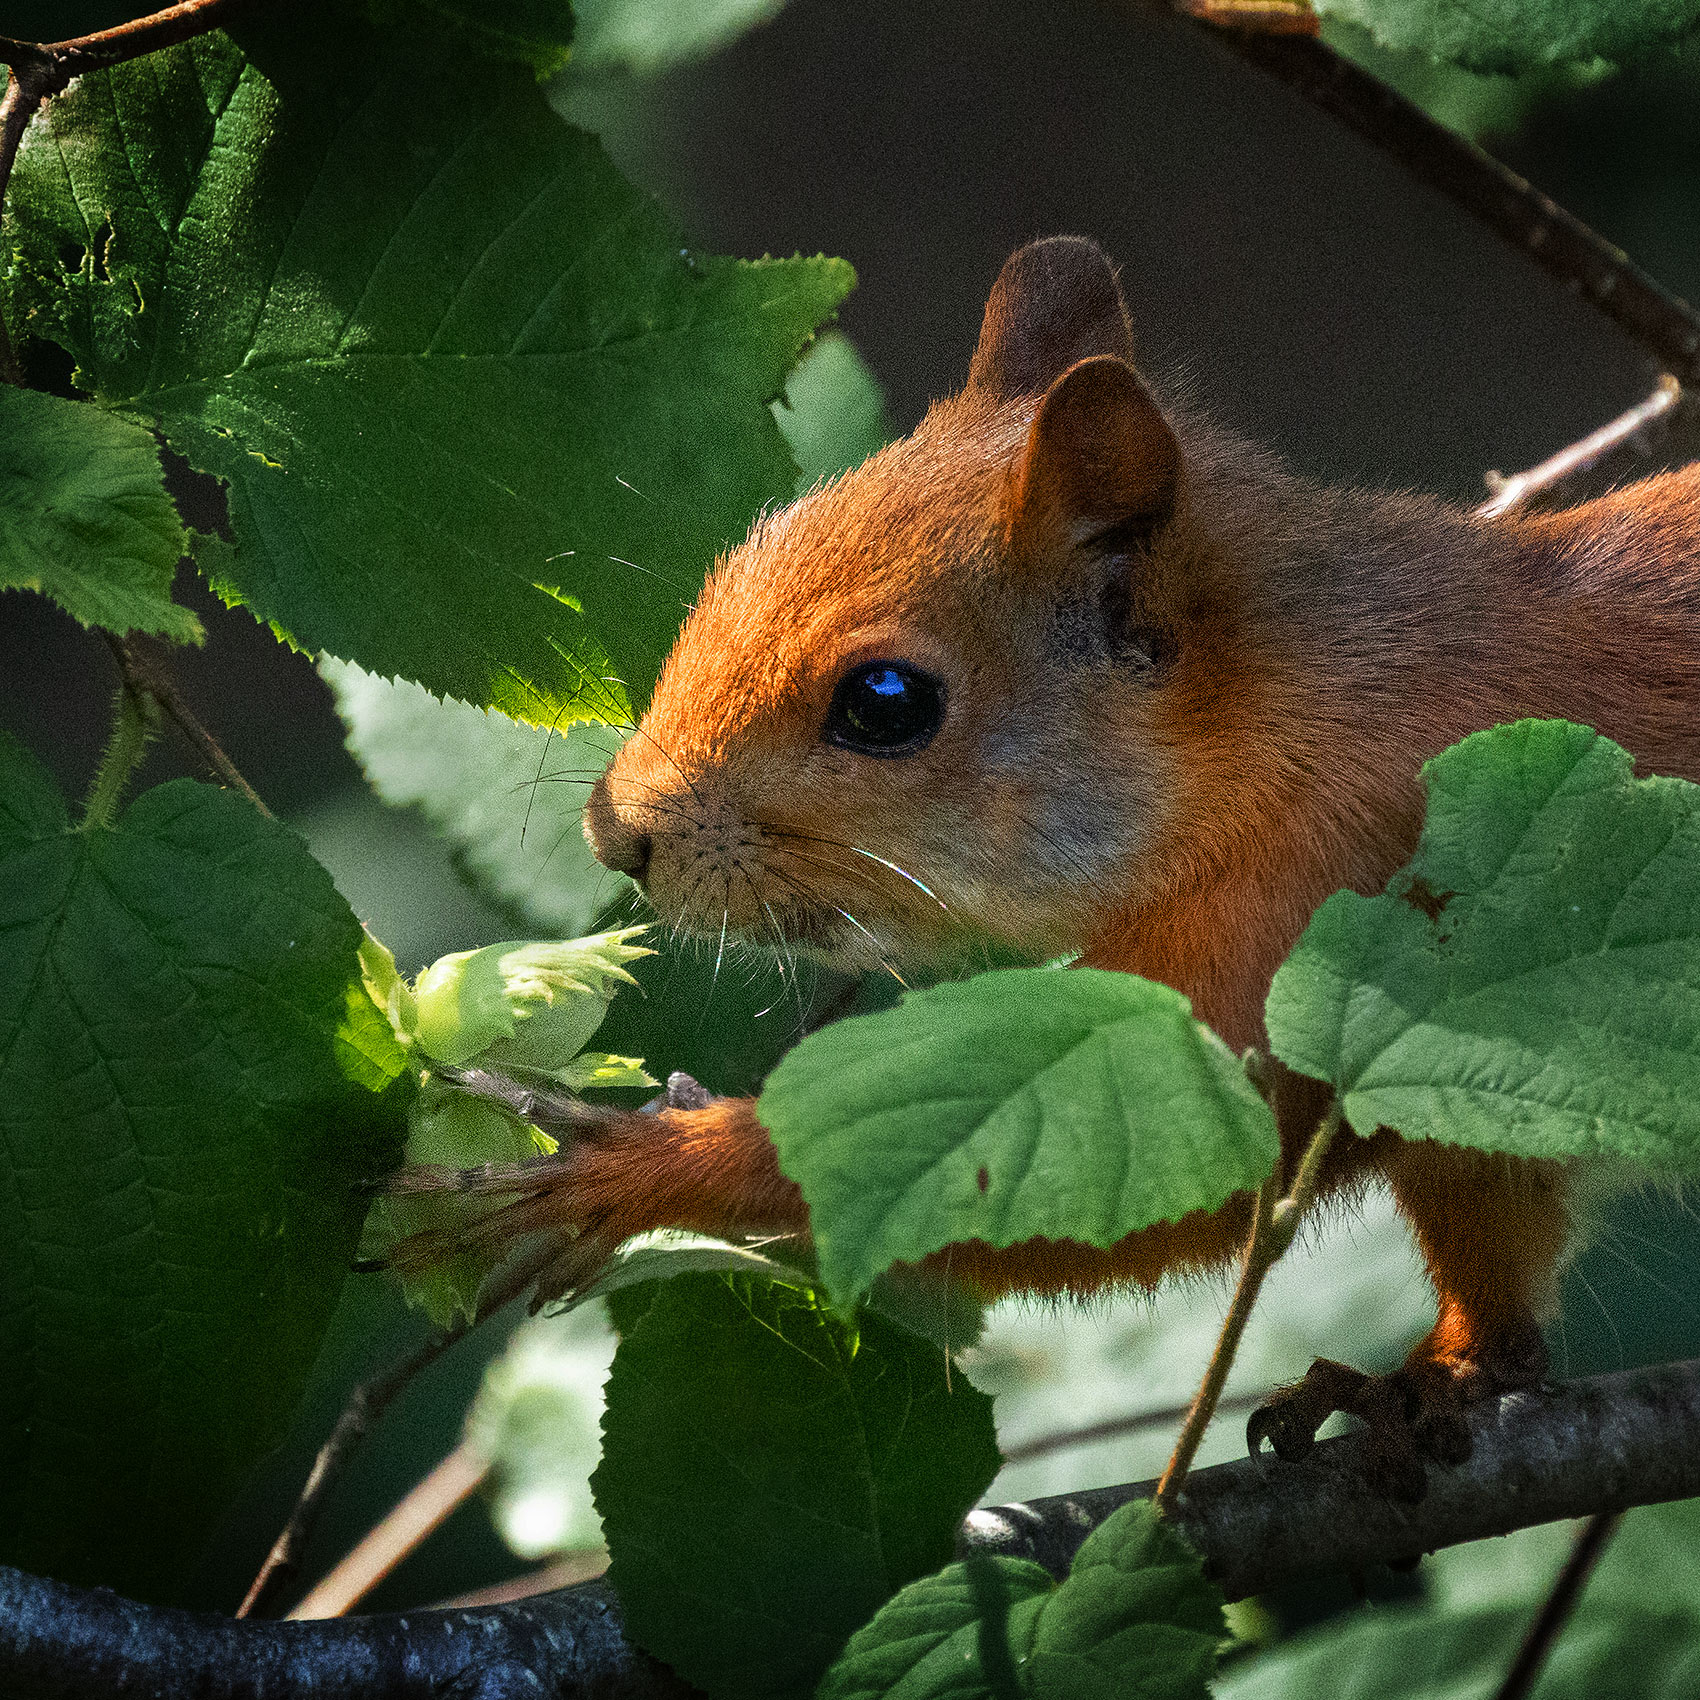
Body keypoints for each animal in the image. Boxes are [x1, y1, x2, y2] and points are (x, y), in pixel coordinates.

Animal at [414, 236, 1700, 1475]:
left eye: (884, 700)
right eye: (736, 559)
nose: (615, 832)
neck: (1290, 713)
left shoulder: (1328, 896)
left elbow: (1135, 1163)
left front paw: (644, 1167)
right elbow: (1495, 1293)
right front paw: (1449, 1369)